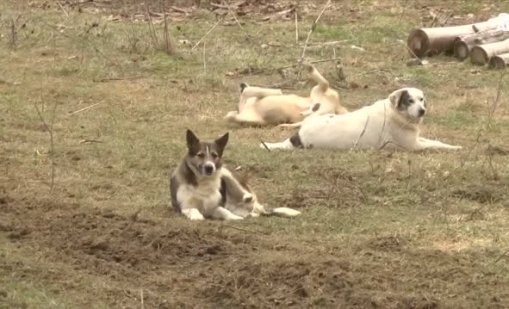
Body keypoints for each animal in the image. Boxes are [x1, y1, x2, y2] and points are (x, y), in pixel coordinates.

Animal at [169, 129, 300, 220]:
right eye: (200, 155)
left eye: (215, 155)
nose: (209, 167)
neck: (203, 181)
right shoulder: (184, 207)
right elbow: (193, 210)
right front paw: (197, 216)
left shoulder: (215, 207)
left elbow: (224, 211)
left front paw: (234, 218)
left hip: (227, 173)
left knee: (252, 203)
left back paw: (248, 200)